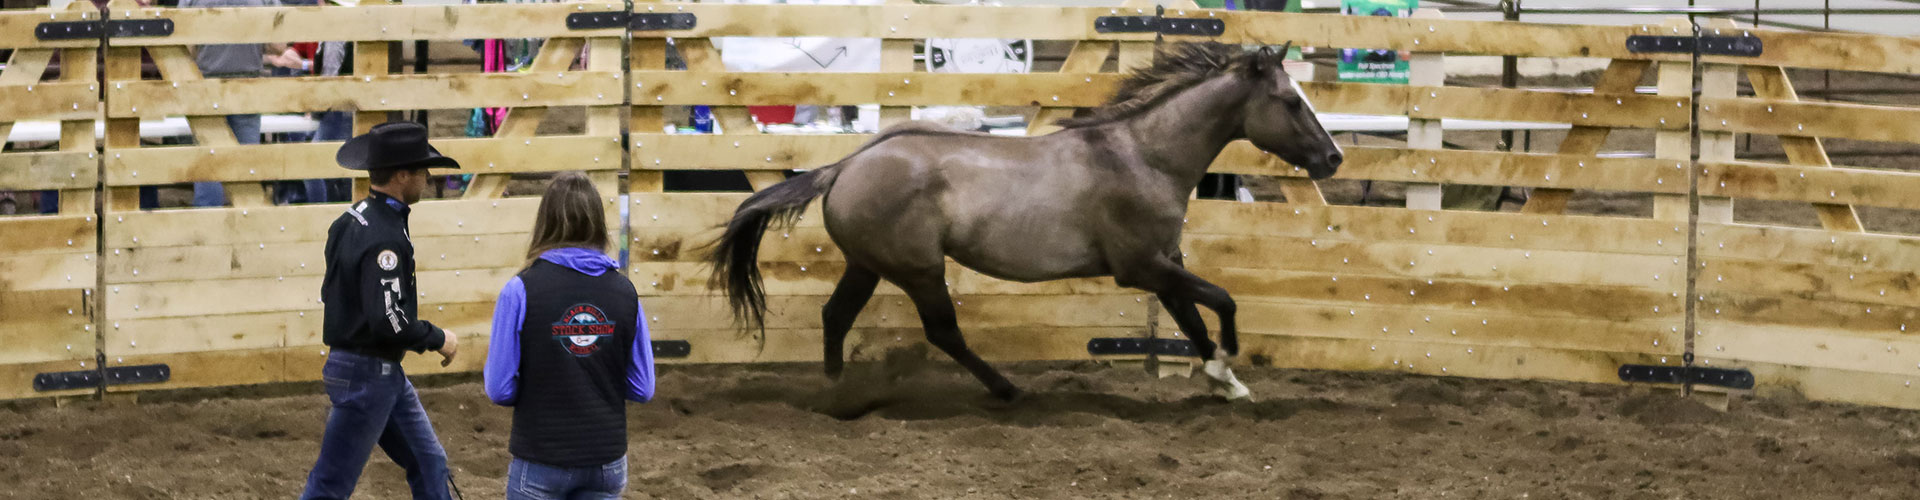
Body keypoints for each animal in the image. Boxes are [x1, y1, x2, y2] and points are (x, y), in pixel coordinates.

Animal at [704, 41, 1344, 402]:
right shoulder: (1140, 267)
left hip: (868, 264)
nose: (1333, 157)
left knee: (835, 316)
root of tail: (843, 166)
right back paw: (1007, 390)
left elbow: (1192, 316)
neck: (1143, 155)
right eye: (1291, 101)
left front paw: (1225, 382)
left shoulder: (1166, 263)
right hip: (919, 270)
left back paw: (836, 392)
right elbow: (1222, 301)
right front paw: (1230, 361)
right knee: (943, 332)